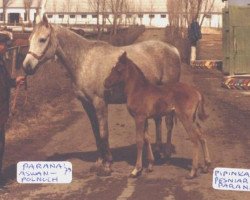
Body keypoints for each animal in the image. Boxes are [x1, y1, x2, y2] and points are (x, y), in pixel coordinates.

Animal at [22, 15, 181, 175]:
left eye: (42, 39)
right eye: (29, 39)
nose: (26, 66)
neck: (84, 60)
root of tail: (173, 50)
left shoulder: (100, 103)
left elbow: (104, 132)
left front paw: (108, 164)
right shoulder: (87, 104)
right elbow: (96, 132)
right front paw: (99, 162)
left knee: (168, 123)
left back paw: (166, 154)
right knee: (158, 120)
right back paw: (158, 152)